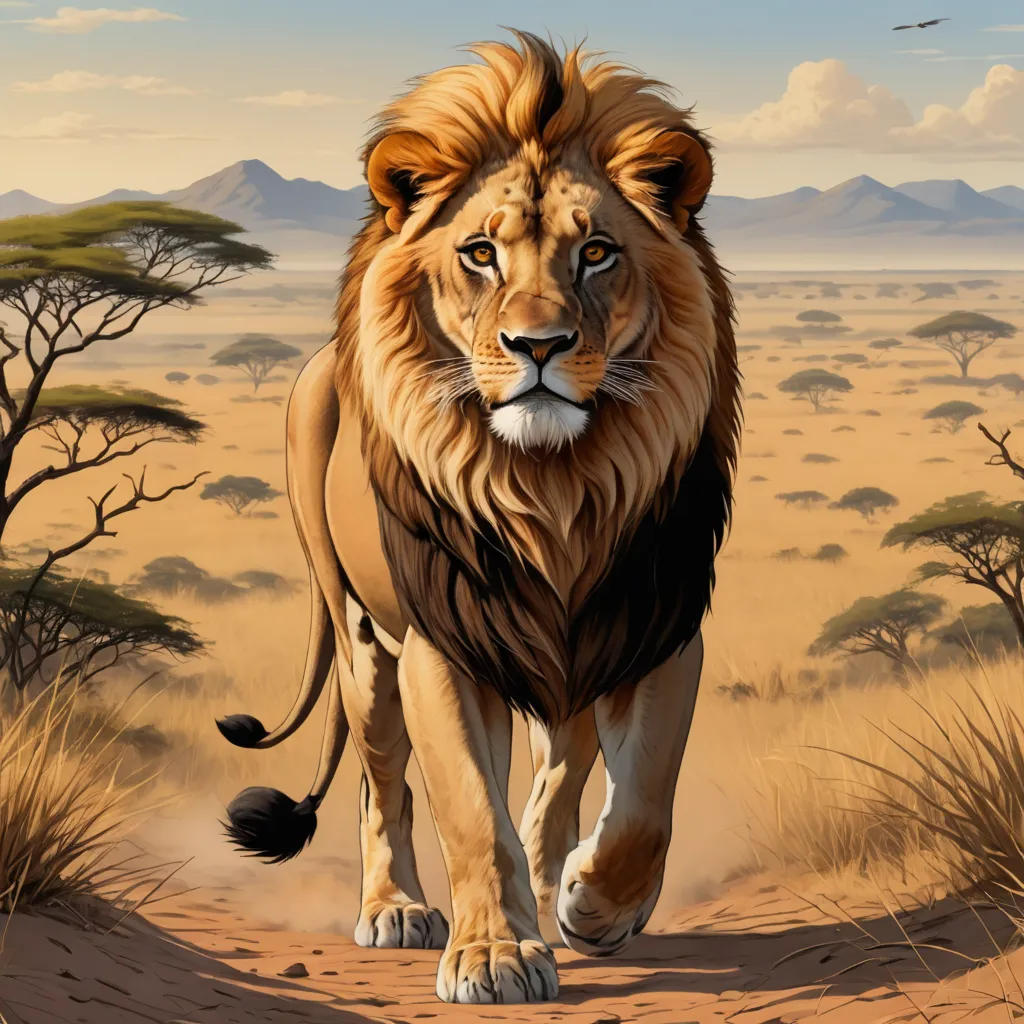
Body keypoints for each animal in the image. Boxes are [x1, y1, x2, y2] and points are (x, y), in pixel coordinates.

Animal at [216, 31, 741, 1004]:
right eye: (480, 255)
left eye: (598, 252)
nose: (538, 346)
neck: (554, 492)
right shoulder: (448, 643)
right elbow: (467, 804)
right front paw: (496, 953)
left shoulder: (649, 628)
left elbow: (641, 801)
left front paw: (591, 904)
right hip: (362, 638)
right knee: (383, 783)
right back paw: (397, 909)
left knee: (559, 769)